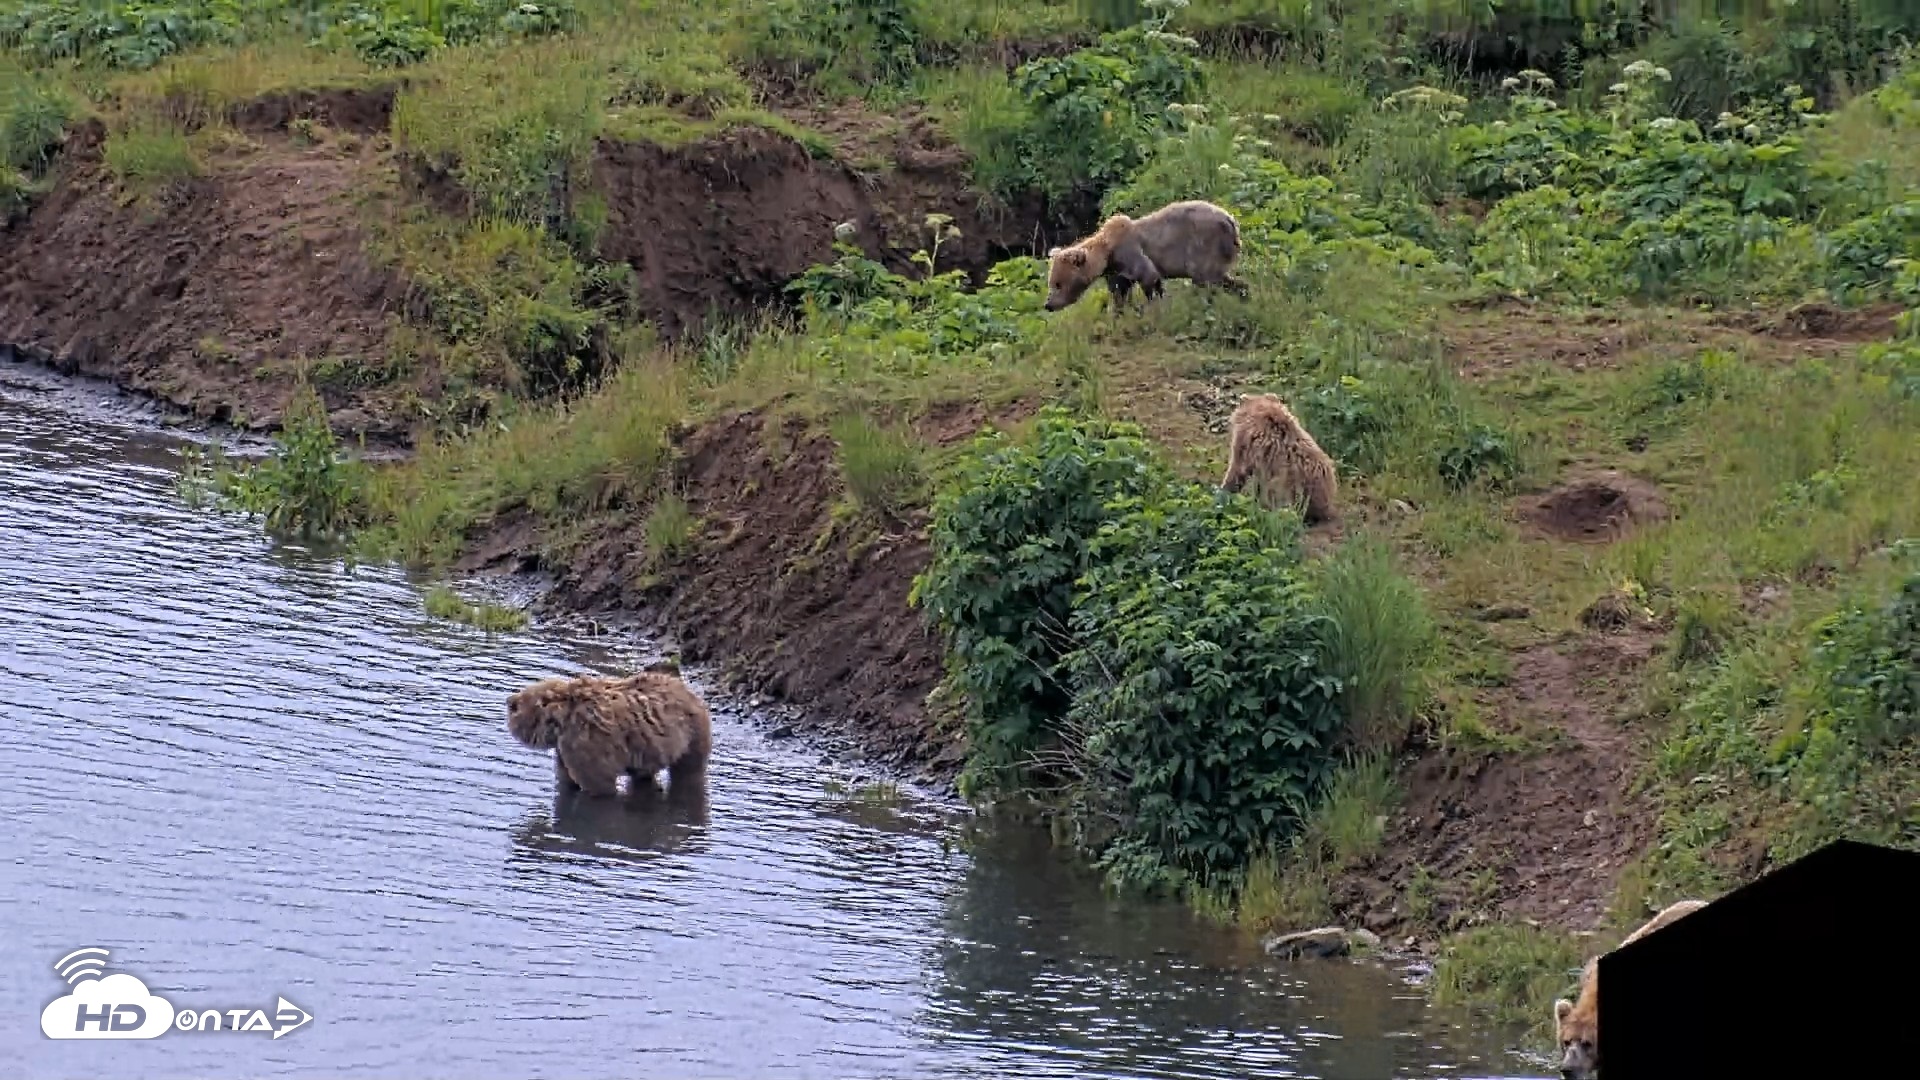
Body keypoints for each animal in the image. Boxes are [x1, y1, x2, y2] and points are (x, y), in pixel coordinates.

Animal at [506, 668, 712, 798]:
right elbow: (566, 780)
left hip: (690, 735)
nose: (510, 701)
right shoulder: (564, 748)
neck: (560, 721)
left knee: (688, 770)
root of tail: (693, 694)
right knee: (643, 774)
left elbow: (598, 783)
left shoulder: (586, 742)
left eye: (517, 708)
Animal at [1044, 199, 1247, 314]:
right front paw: (1119, 312)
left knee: (1206, 277)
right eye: (1052, 282)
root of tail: (1231, 220)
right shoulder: (1116, 271)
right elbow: (1119, 291)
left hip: (1205, 245)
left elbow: (1149, 277)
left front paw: (1152, 306)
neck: (1108, 254)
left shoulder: (1130, 253)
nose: (1048, 304)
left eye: (1058, 284)